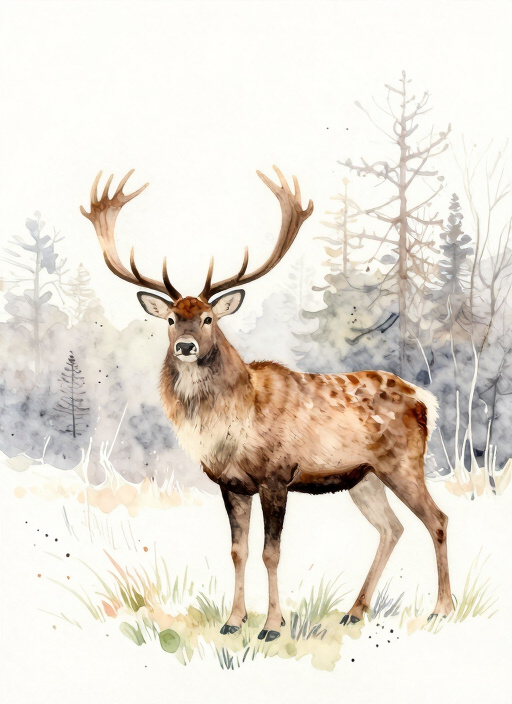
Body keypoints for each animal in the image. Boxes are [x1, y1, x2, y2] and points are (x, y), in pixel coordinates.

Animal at [80, 168, 453, 641]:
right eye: (170, 319)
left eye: (208, 318)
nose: (185, 346)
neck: (233, 426)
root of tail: (425, 401)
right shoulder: (231, 484)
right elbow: (238, 550)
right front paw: (233, 620)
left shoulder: (277, 476)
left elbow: (270, 552)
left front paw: (273, 626)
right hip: (363, 477)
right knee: (393, 528)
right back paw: (354, 611)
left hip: (403, 463)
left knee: (436, 519)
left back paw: (442, 608)